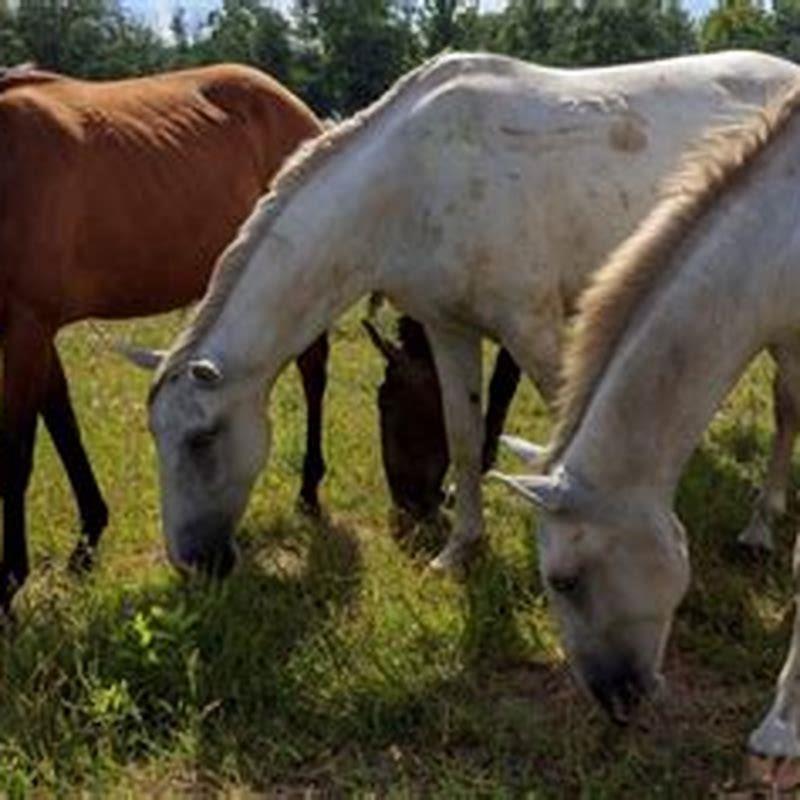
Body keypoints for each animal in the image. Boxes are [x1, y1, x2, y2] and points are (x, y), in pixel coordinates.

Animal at [0, 63, 326, 612]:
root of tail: (290, 101)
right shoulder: (35, 332)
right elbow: (64, 425)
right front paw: (87, 542)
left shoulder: (26, 327)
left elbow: (16, 457)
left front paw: (8, 581)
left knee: (314, 375)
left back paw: (309, 492)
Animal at [139, 50, 800, 579]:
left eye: (201, 439)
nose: (192, 562)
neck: (412, 183)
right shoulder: (449, 328)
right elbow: (462, 430)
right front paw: (461, 546)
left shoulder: (532, 329)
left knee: (786, 408)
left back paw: (761, 527)